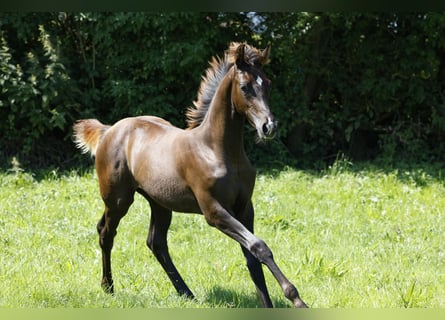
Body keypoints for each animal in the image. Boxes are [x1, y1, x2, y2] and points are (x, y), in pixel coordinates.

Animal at [73, 42, 308, 308]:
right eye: (245, 87)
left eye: (267, 83)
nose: (268, 127)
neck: (217, 151)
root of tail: (110, 130)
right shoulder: (214, 211)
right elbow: (259, 246)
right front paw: (296, 299)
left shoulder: (245, 208)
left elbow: (252, 257)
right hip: (118, 200)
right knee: (106, 232)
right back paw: (109, 287)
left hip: (159, 203)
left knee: (156, 242)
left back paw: (186, 292)